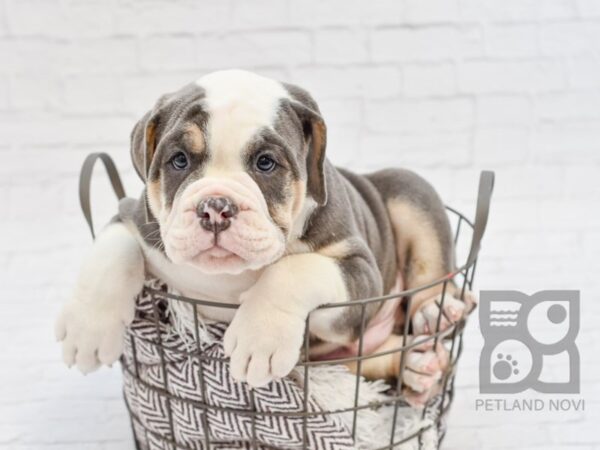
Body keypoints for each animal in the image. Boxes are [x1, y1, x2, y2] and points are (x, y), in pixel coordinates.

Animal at [55, 71, 468, 404]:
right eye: (179, 160)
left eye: (266, 163)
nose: (216, 207)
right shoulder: (133, 215)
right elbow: (112, 249)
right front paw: (87, 329)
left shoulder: (361, 274)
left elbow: (296, 270)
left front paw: (259, 337)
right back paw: (418, 365)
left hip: (409, 191)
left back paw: (436, 313)